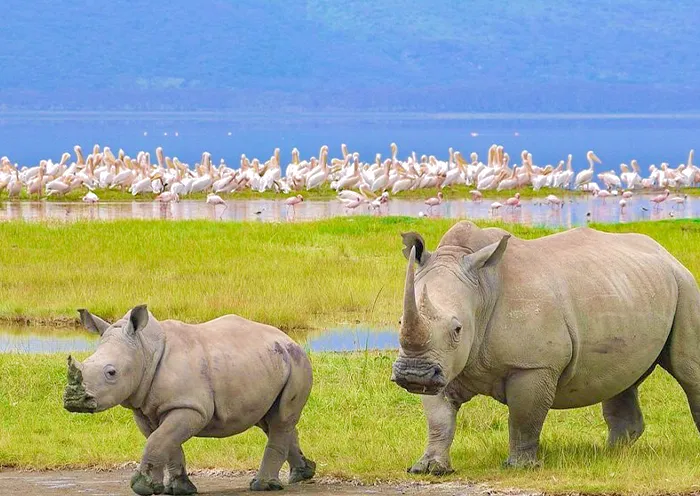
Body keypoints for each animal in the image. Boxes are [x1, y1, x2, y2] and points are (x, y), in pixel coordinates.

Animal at [63, 305, 315, 495]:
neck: (145, 350)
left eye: (111, 373)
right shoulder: (146, 409)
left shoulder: (190, 407)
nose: (74, 401)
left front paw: (142, 487)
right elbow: (165, 442)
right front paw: (177, 489)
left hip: (297, 362)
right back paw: (302, 474)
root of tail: (288, 338)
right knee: (270, 420)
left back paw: (262, 486)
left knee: (280, 419)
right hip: (270, 362)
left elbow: (158, 441)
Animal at [391, 221, 700, 473]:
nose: (413, 375)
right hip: (629, 289)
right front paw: (428, 468)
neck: (482, 289)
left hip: (685, 285)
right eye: (399, 321)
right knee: (622, 376)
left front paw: (519, 467)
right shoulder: (442, 364)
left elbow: (524, 418)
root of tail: (665, 253)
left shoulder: (533, 366)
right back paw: (610, 455)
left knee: (688, 371)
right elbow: (439, 419)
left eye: (457, 329)